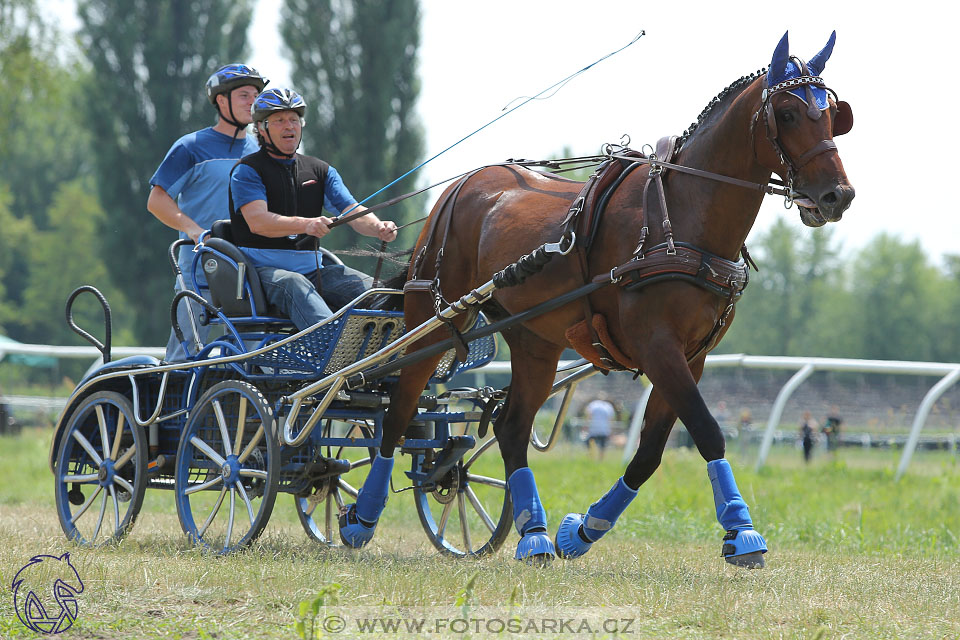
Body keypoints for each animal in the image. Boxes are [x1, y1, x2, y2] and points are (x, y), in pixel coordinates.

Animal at [338, 32, 856, 568]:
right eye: (788, 113)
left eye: (833, 114)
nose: (838, 195)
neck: (680, 221)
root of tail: (461, 185)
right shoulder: (657, 346)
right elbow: (707, 429)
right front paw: (742, 531)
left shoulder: (692, 355)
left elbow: (649, 452)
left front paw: (582, 531)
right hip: (435, 316)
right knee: (399, 411)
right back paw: (362, 518)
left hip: (534, 339)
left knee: (511, 426)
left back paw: (535, 534)